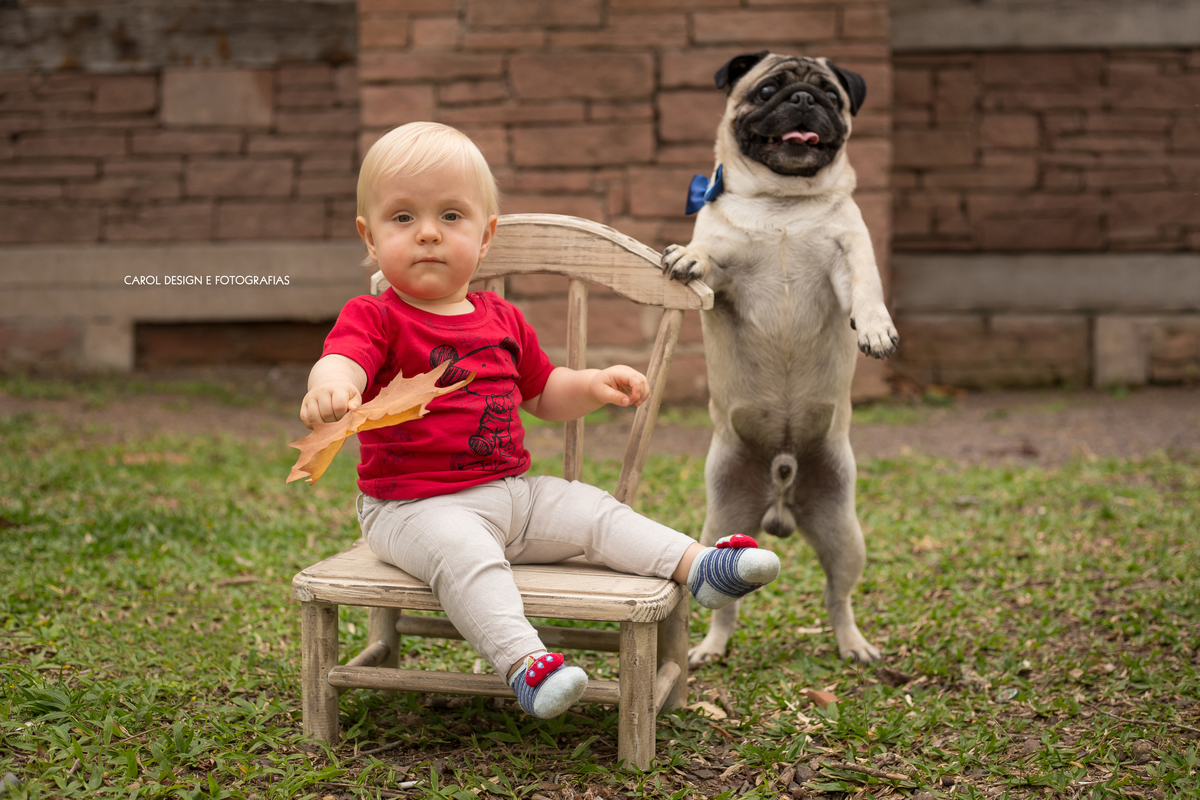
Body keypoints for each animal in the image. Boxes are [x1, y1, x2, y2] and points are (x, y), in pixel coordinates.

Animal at [661, 51, 898, 667]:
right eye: (768, 90)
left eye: (832, 97)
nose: (803, 99)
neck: (783, 205)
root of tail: (782, 489)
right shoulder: (724, 266)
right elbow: (706, 254)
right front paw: (686, 256)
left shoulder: (850, 257)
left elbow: (866, 289)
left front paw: (876, 327)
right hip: (722, 523)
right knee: (724, 605)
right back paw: (710, 648)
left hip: (844, 536)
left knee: (839, 597)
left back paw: (853, 644)